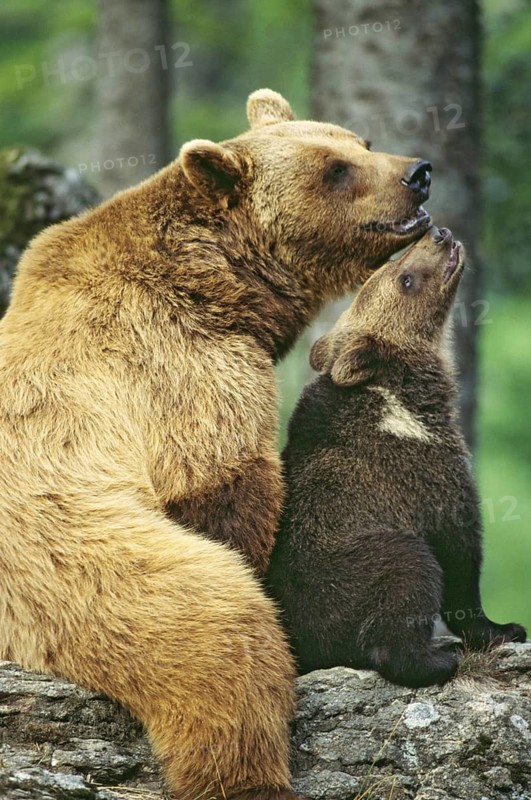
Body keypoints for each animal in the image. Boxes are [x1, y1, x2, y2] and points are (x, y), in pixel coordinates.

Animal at [0, 89, 432, 799]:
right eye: (334, 169)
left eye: (360, 141)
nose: (417, 172)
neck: (223, 289)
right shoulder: (181, 368)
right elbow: (226, 491)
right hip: (73, 565)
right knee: (221, 643)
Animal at [266, 226, 527, 689]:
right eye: (405, 279)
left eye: (389, 264)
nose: (439, 233)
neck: (405, 402)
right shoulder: (425, 471)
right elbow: (459, 552)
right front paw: (504, 628)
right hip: (357, 564)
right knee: (406, 577)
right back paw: (438, 658)